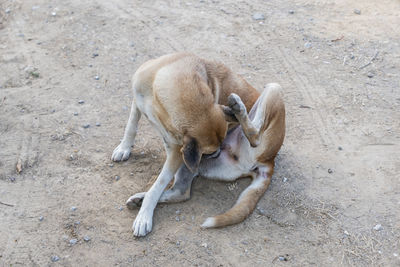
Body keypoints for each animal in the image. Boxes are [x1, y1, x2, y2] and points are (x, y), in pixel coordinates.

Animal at [112, 52, 260, 237]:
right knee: (180, 192)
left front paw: (144, 217)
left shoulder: (177, 152)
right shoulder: (137, 101)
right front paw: (124, 148)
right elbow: (131, 126)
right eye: (209, 152)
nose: (219, 152)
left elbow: (157, 187)